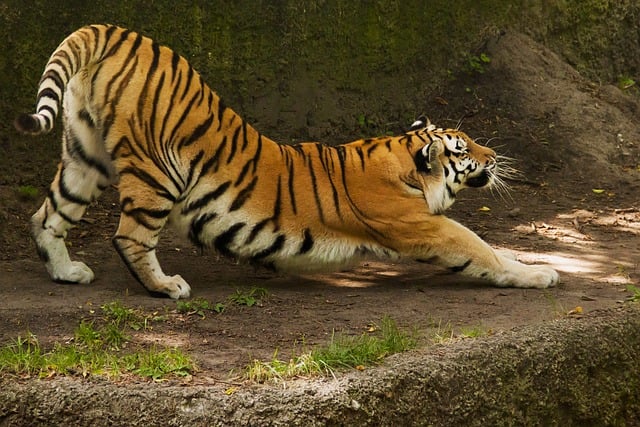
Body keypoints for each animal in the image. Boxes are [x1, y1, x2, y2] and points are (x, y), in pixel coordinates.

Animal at [15, 24, 558, 299]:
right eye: (463, 149)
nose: (495, 155)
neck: (404, 163)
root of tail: (114, 31)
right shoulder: (423, 226)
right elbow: (483, 250)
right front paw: (541, 275)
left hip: (85, 158)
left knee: (46, 216)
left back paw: (67, 273)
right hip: (156, 172)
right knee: (129, 237)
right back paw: (167, 287)